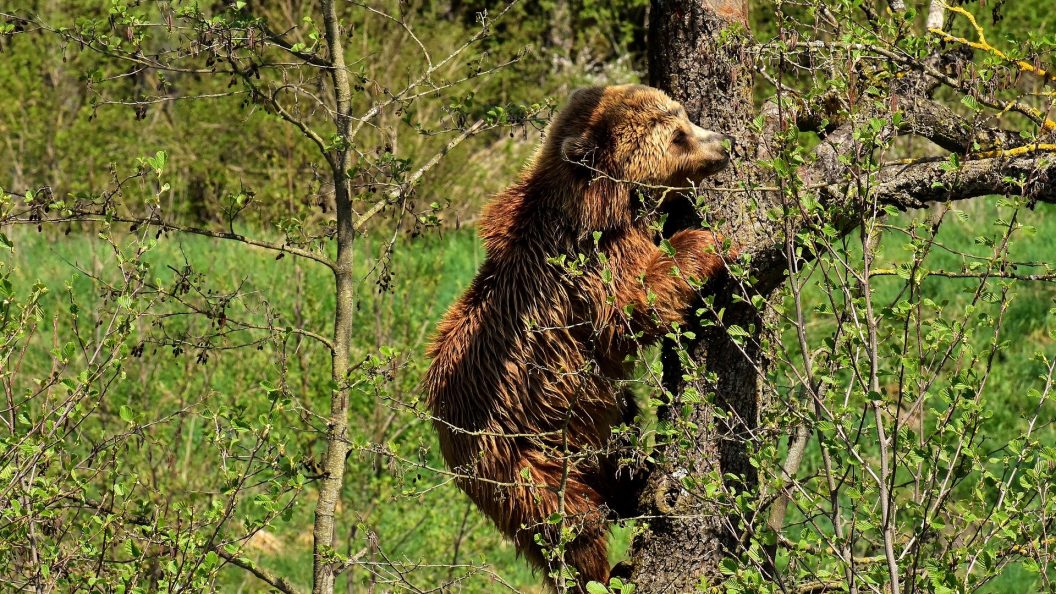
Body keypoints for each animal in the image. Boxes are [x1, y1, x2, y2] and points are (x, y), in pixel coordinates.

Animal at [424, 83, 730, 587]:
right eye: (677, 136)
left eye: (684, 116)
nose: (724, 144)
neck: (601, 206)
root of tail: (444, 436)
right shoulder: (583, 270)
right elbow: (634, 307)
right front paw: (706, 240)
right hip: (521, 459)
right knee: (570, 526)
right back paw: (604, 572)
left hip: (583, 430)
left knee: (616, 444)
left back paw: (634, 484)